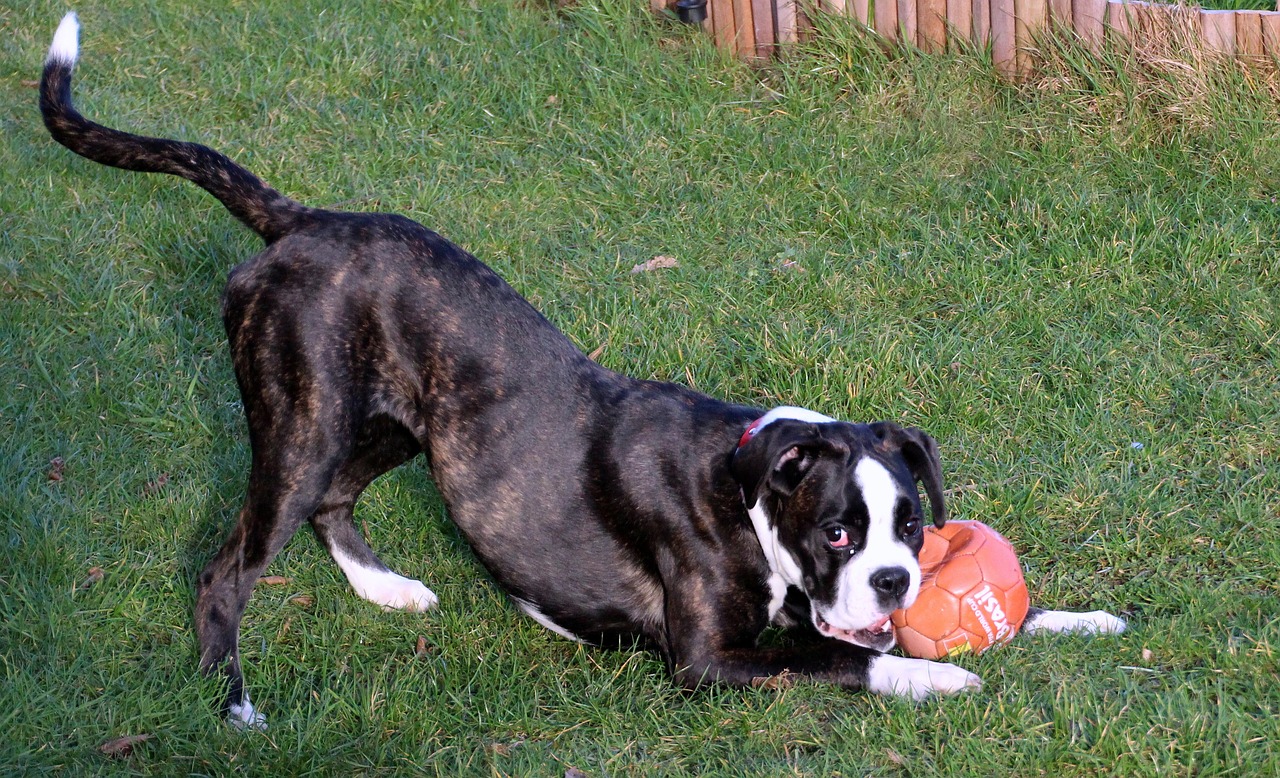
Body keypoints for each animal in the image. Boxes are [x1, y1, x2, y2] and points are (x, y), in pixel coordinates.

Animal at [37, 13, 1131, 726]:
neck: (746, 484)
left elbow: (934, 629)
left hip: (390, 424)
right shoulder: (708, 663)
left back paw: (386, 592)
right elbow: (839, 662)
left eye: (912, 526)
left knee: (332, 503)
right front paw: (941, 681)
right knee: (228, 569)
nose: (899, 579)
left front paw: (1075, 617)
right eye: (836, 531)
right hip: (299, 425)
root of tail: (301, 220)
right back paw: (234, 703)